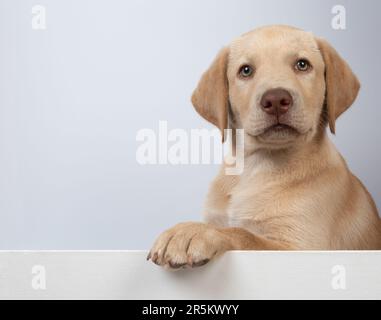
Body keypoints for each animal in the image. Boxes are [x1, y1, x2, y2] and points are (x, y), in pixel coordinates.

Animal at [146, 25, 380, 270]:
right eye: (246, 71)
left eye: (302, 64)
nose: (276, 100)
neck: (255, 166)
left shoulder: (301, 248)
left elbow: (242, 234)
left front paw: (193, 232)